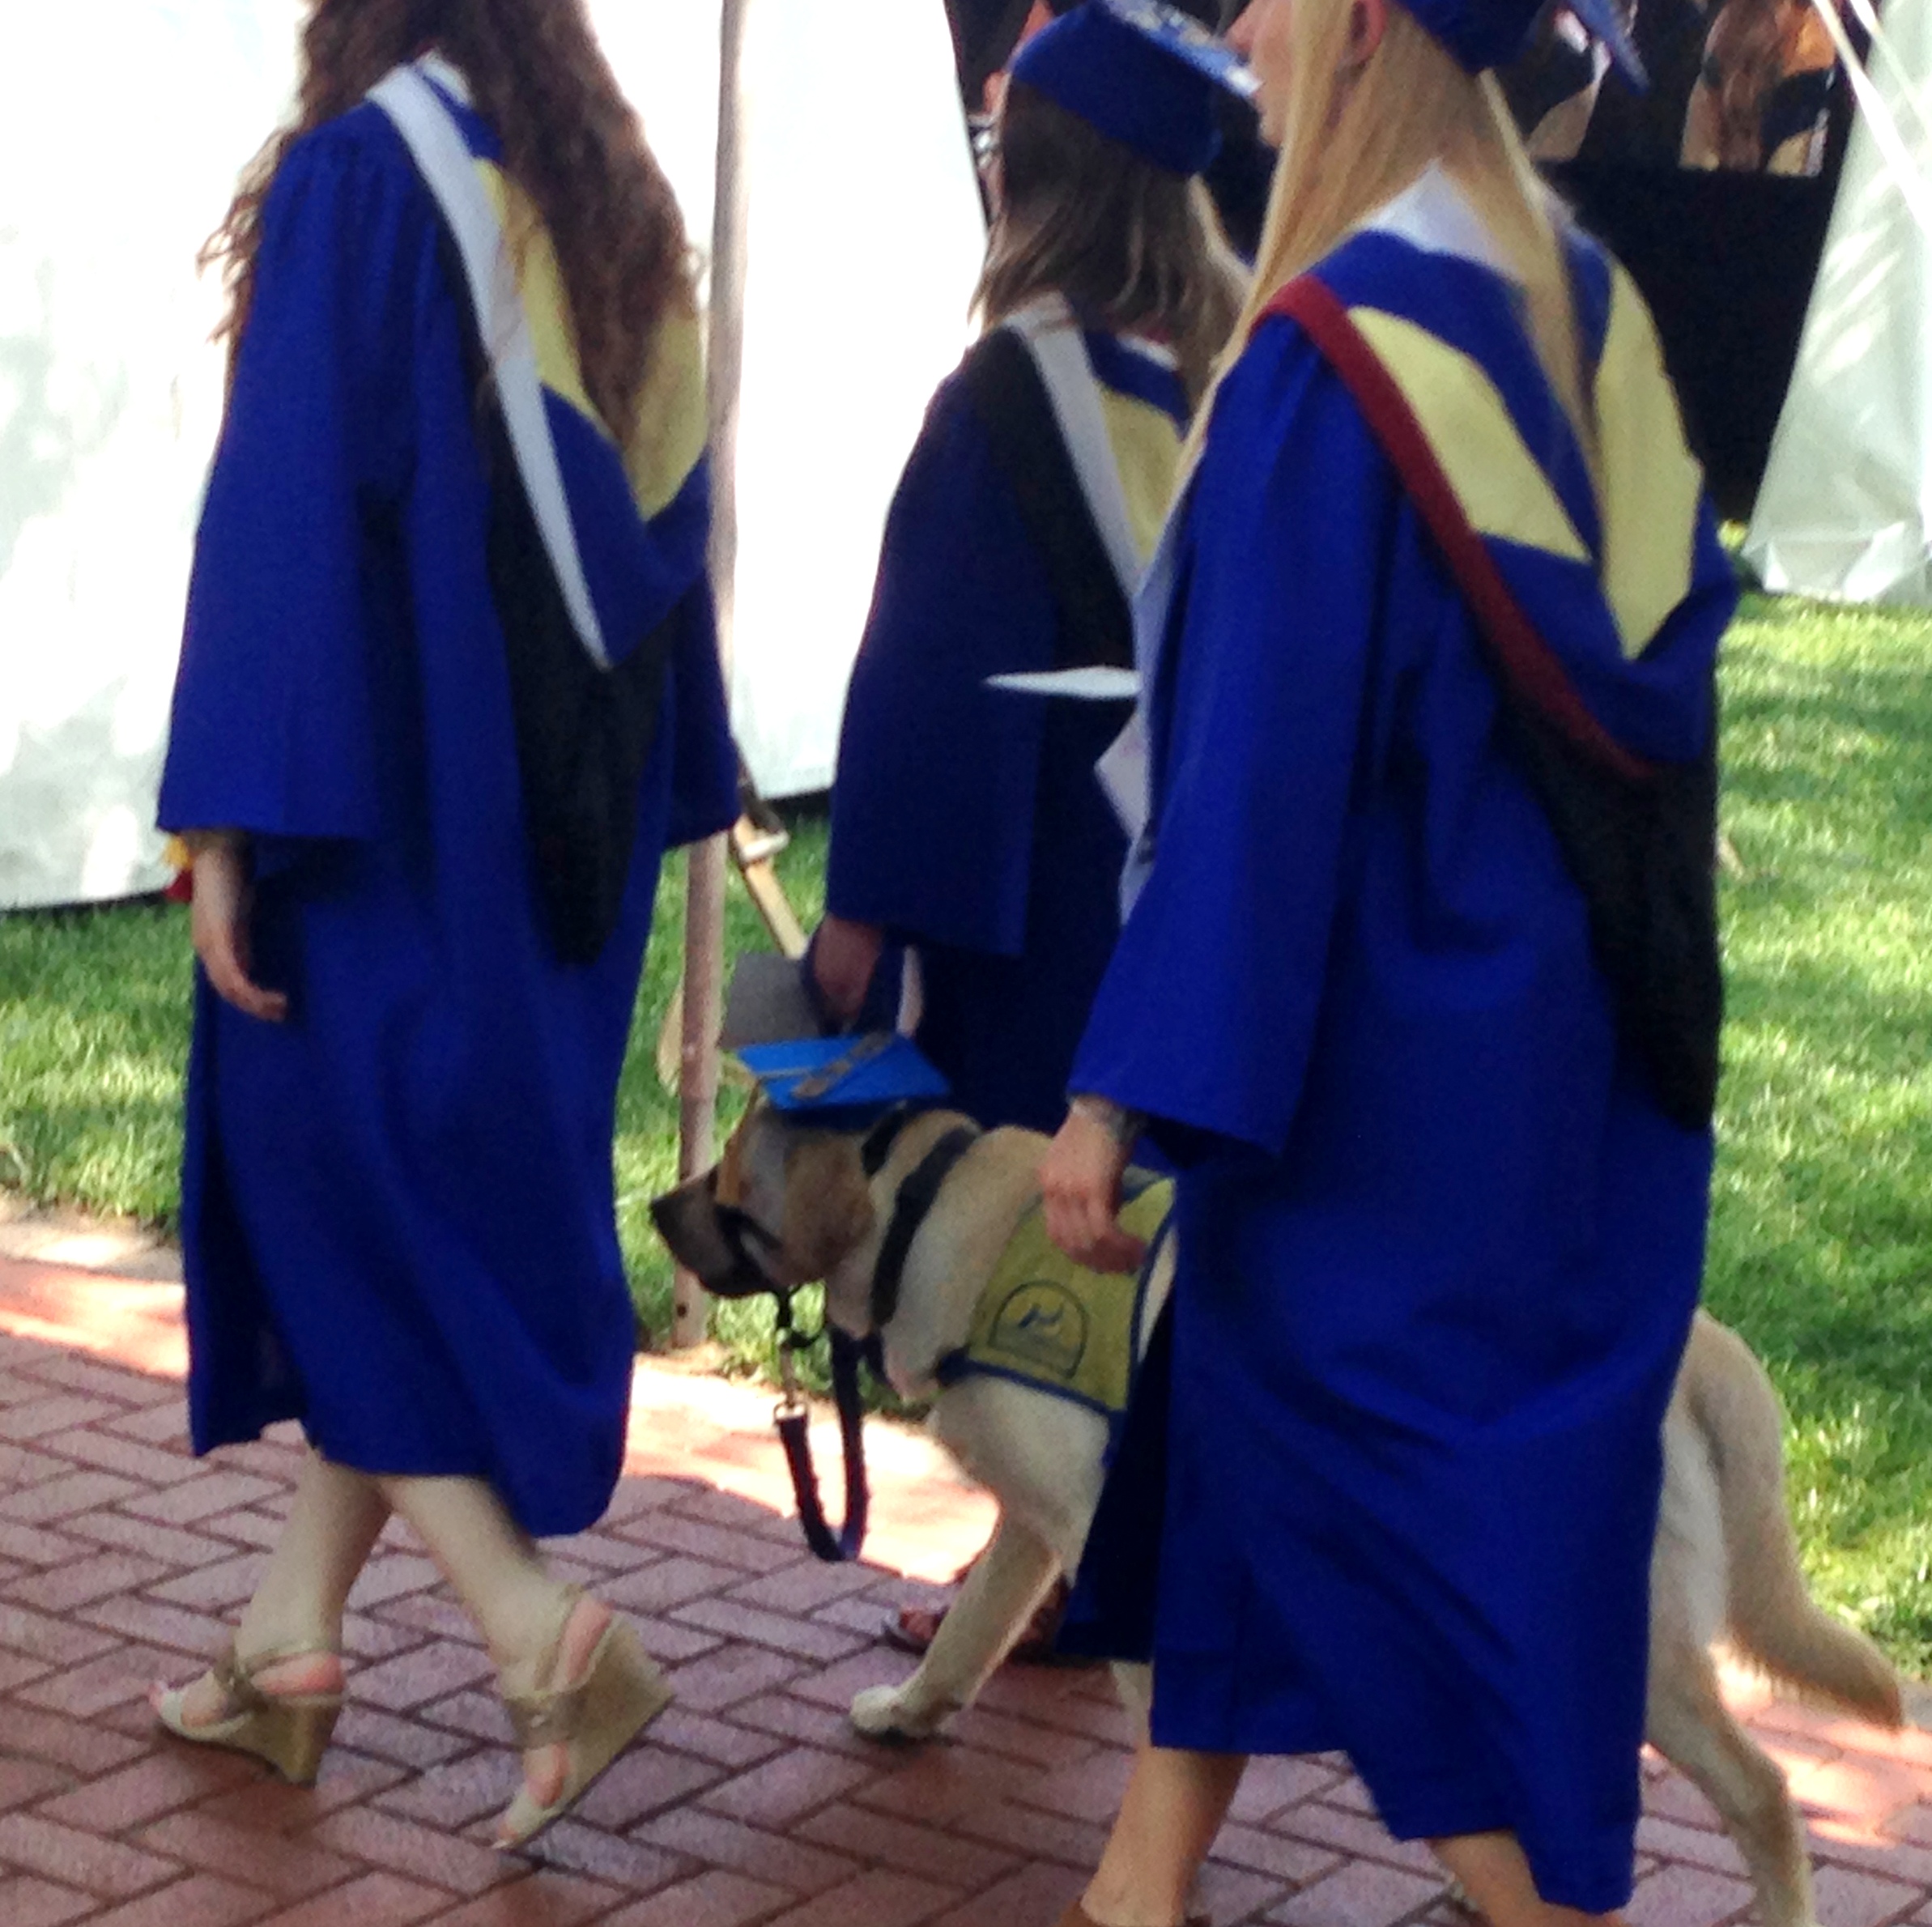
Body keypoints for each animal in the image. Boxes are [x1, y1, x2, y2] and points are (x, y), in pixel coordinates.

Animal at [654, 1100, 1902, 1927]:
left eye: (726, 1180)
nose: (654, 1201)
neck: (937, 1210)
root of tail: (1702, 1348)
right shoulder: (1033, 1526)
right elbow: (970, 1633)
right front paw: (912, 1714)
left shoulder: (1106, 1535)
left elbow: (1155, 1728)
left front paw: (1160, 1873)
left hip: (1621, 1643)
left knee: (1763, 1793)